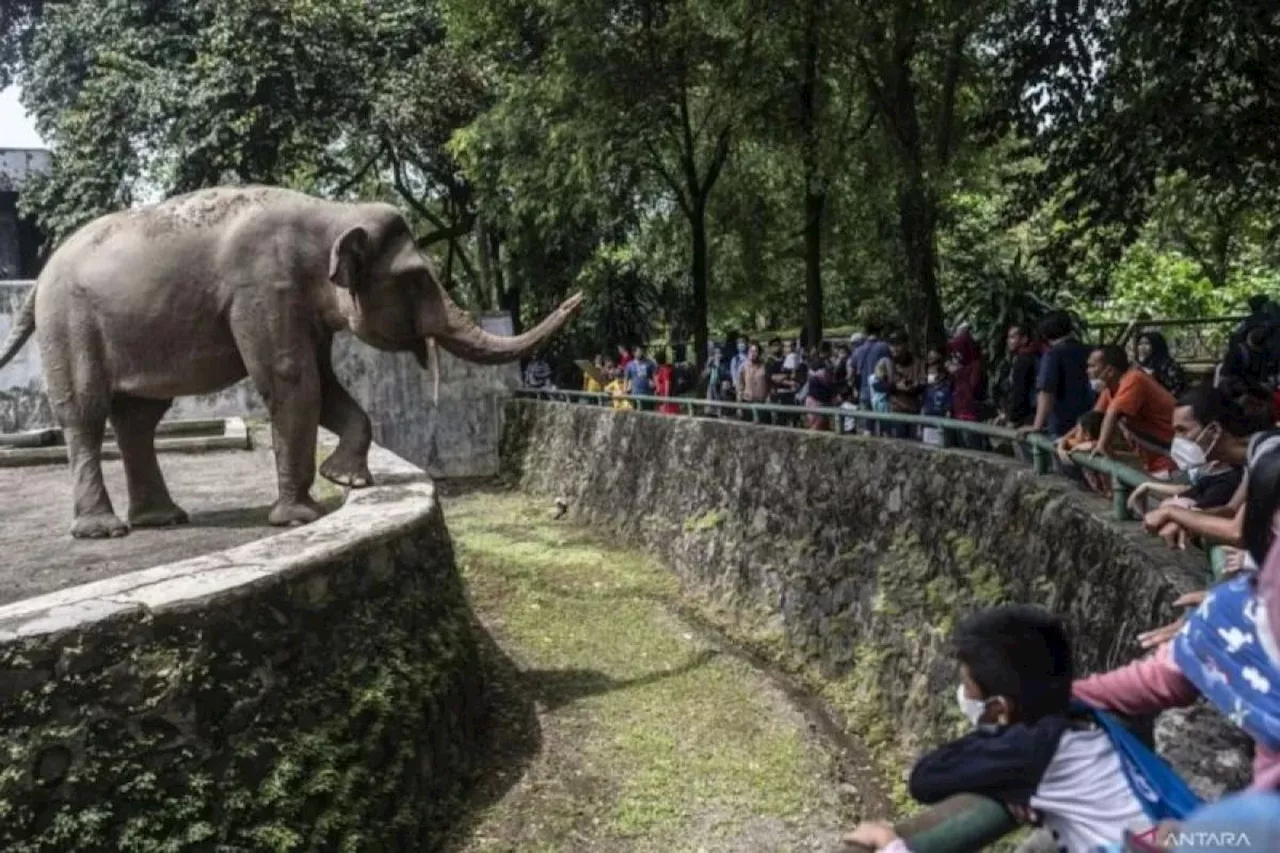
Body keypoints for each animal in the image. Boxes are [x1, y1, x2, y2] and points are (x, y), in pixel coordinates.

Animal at [0, 186, 583, 537]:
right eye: (417, 279)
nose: (577, 296)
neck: (331, 213)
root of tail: (40, 280)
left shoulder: (304, 308)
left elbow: (325, 385)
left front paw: (347, 481)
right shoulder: (263, 290)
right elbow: (291, 381)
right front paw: (298, 518)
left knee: (139, 417)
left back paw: (163, 519)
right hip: (69, 326)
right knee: (86, 412)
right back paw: (105, 529)